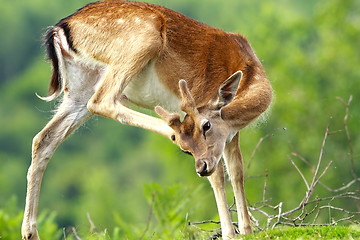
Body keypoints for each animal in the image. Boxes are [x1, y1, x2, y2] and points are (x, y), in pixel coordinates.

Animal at [21, 0, 272, 239]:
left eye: (207, 125)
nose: (200, 167)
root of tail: (59, 29)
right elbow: (219, 176)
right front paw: (230, 233)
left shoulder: (231, 134)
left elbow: (237, 171)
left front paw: (247, 230)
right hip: (140, 41)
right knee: (103, 101)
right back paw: (171, 131)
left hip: (79, 87)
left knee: (43, 139)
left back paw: (30, 233)